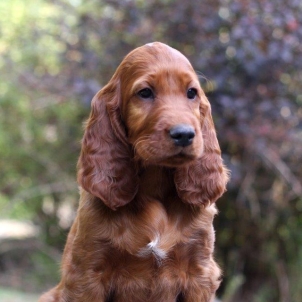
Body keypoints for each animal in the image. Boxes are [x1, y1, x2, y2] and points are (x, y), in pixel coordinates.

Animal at [39, 41, 229, 300]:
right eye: (145, 93)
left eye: (192, 92)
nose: (184, 134)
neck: (155, 185)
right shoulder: (86, 274)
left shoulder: (199, 274)